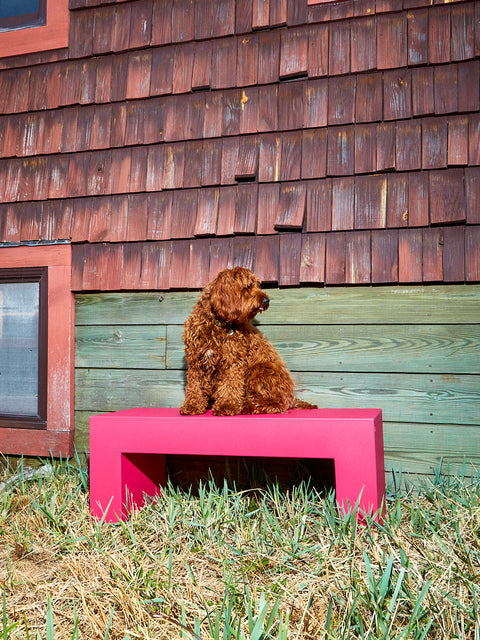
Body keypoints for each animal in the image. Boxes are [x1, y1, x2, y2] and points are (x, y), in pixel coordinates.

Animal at [178, 264, 316, 416]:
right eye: (247, 286)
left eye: (257, 285)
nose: (267, 300)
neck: (218, 323)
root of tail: (293, 399)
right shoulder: (196, 360)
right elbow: (195, 386)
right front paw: (192, 406)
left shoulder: (233, 361)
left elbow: (230, 386)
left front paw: (226, 406)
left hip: (259, 369)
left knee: (276, 405)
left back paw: (249, 407)